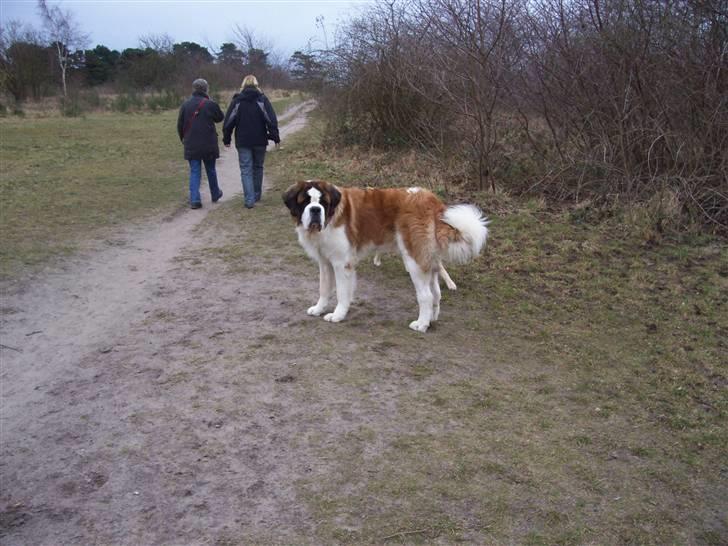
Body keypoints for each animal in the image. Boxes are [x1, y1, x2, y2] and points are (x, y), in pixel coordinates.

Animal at [284, 181, 490, 330]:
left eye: (323, 202)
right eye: (305, 201)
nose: (315, 210)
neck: (330, 217)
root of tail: (431, 200)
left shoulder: (342, 264)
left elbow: (342, 292)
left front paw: (337, 315)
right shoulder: (325, 263)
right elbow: (324, 289)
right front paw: (319, 309)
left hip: (414, 260)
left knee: (426, 295)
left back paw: (421, 325)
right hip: (428, 259)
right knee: (436, 292)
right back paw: (431, 319)